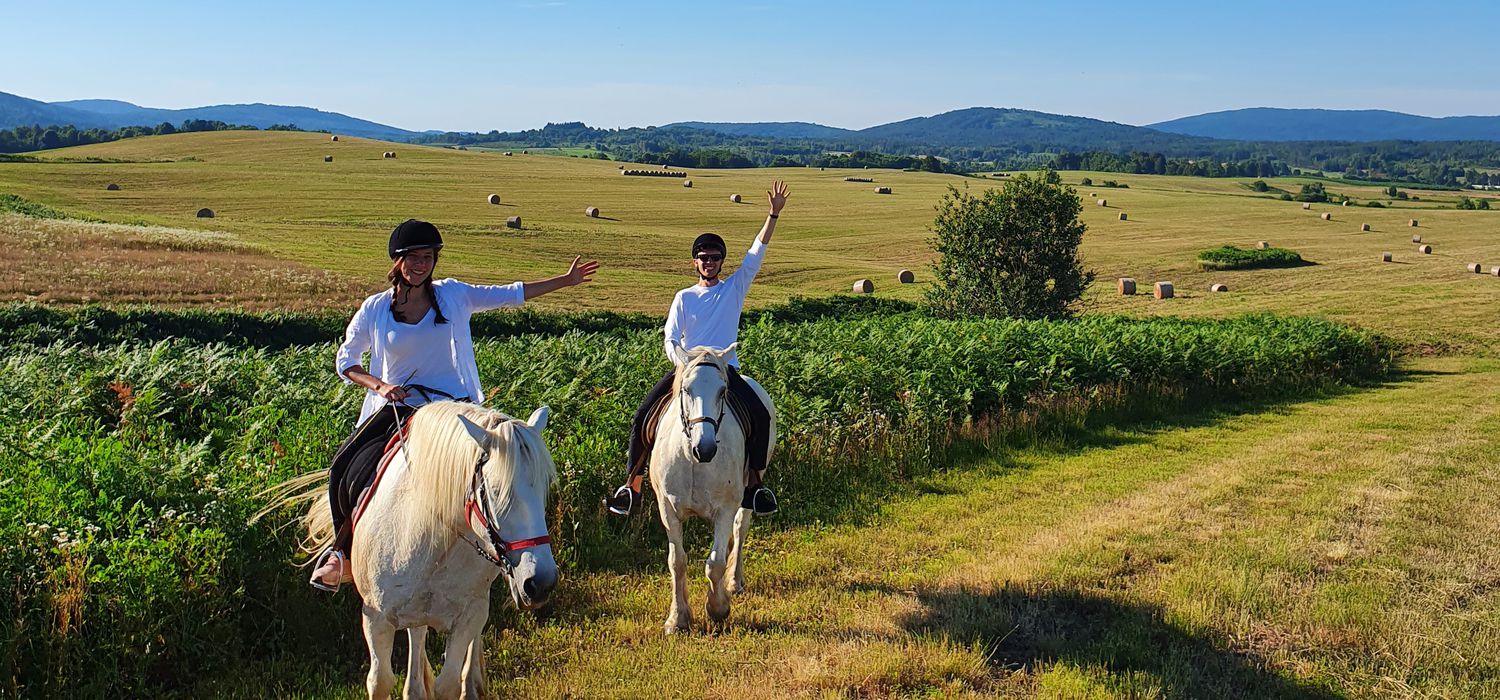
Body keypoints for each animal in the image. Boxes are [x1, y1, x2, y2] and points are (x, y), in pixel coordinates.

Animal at [270, 398, 558, 700]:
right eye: (496, 490)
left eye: (544, 487)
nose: (541, 583)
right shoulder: (376, 618)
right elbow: (380, 681)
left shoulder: (467, 616)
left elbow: (449, 682)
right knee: (417, 633)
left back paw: (472, 683)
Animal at [651, 344, 780, 635]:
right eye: (686, 389)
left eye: (722, 391)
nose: (706, 448)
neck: (692, 458)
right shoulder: (668, 511)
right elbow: (677, 561)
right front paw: (677, 619)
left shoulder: (724, 510)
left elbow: (715, 563)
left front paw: (718, 608)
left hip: (750, 488)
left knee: (740, 530)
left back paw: (734, 582)